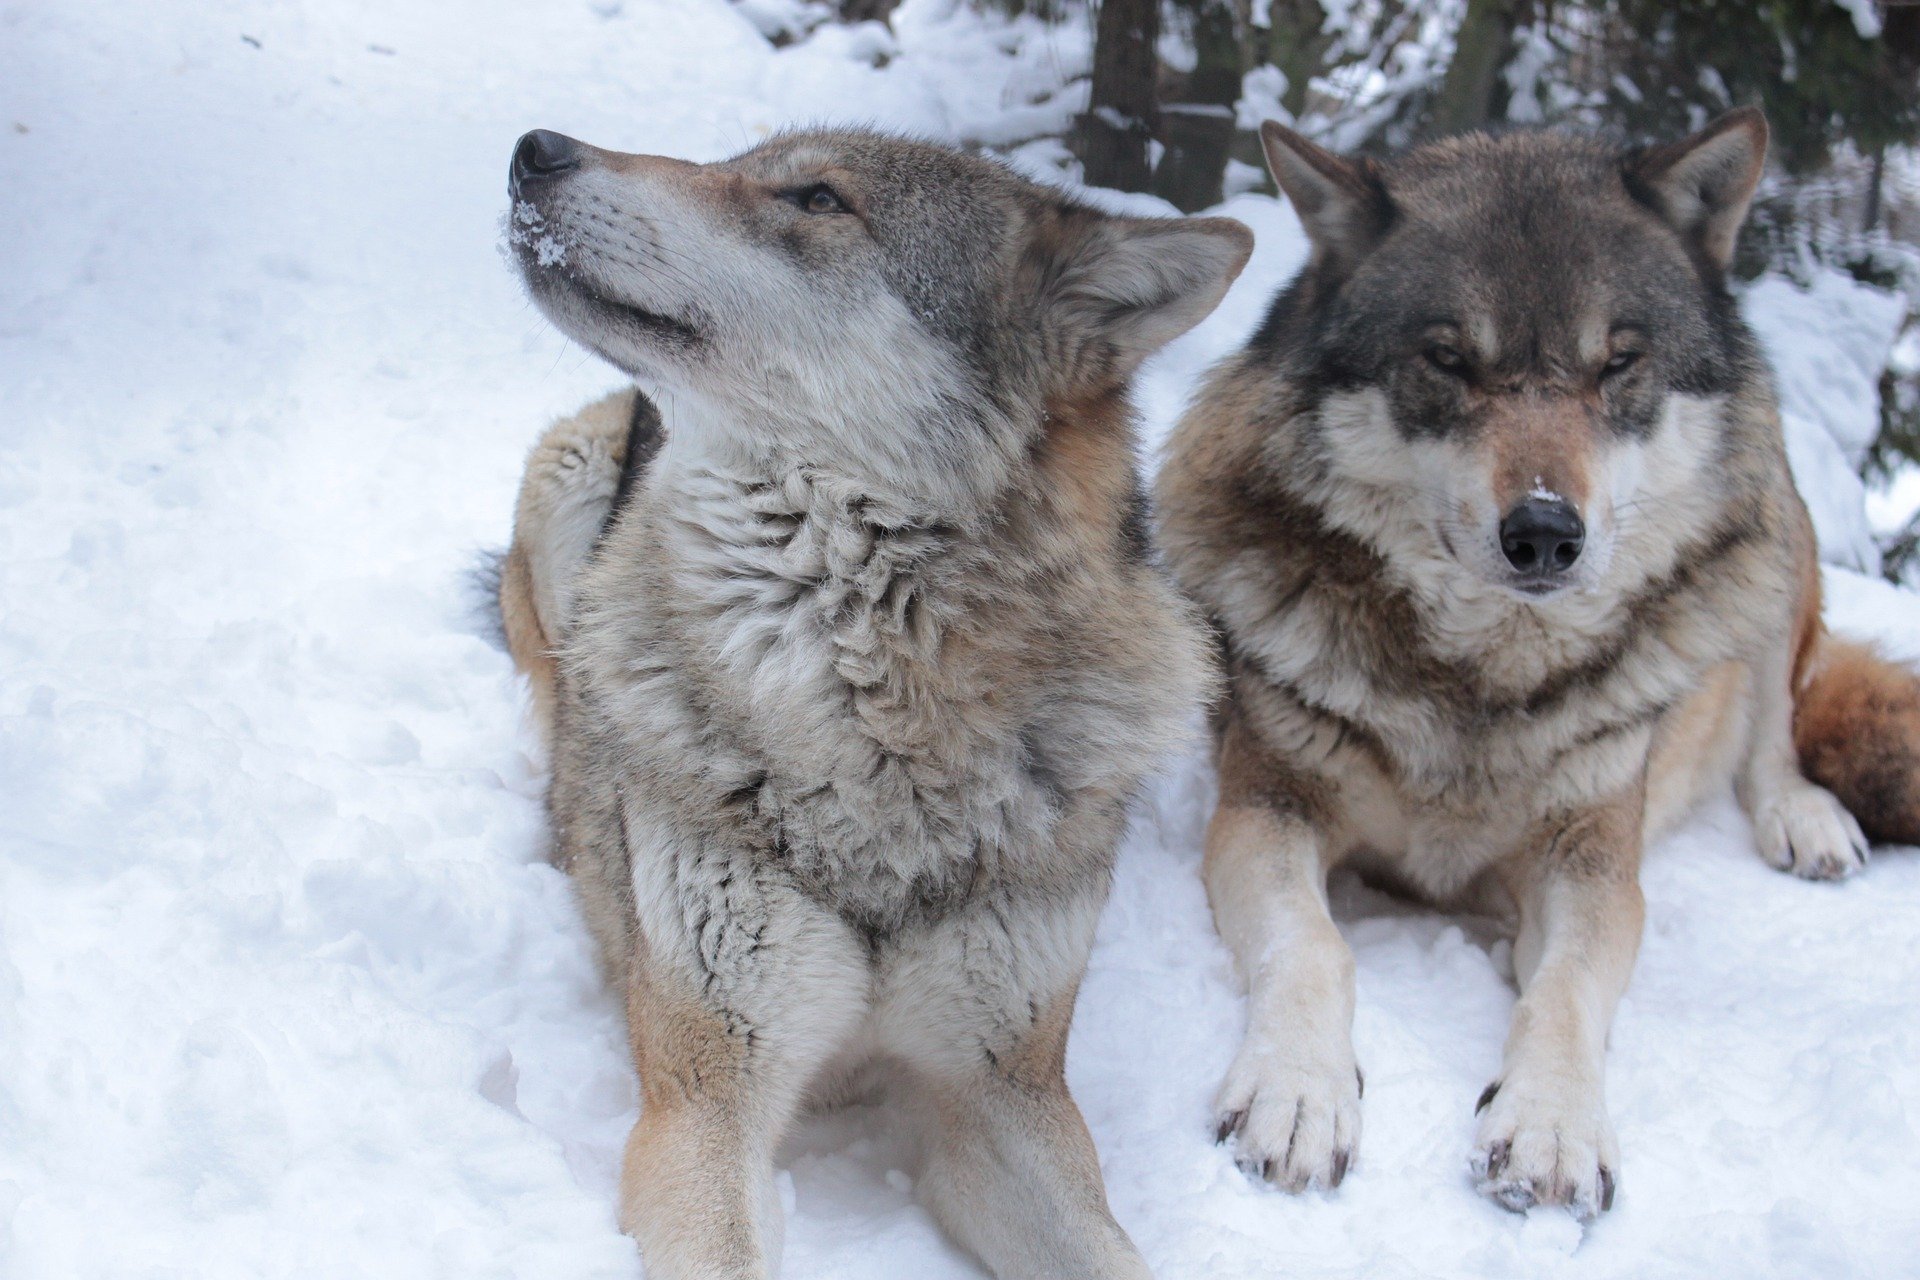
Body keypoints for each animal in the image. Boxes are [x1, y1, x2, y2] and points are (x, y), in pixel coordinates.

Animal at [496, 126, 1250, 1277]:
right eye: (737, 161)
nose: (536, 148)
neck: (876, 726)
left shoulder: (1005, 1095)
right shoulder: (706, 1100)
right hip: (567, 480)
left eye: (817, 198)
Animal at [1156, 107, 1920, 1220]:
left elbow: (1563, 992)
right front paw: (1297, 1096)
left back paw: (1805, 820)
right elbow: (1314, 946)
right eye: (1448, 359)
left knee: (1779, 722)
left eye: (1617, 363)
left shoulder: (1593, 860)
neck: (1481, 678)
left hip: (1771, 535)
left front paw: (1552, 1128)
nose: (1546, 533)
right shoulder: (1266, 810)